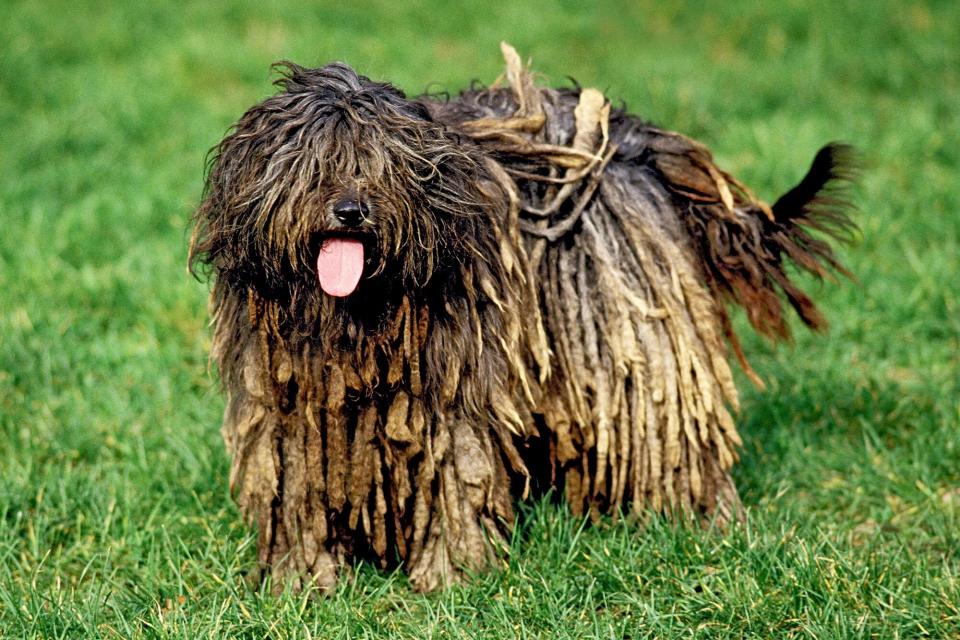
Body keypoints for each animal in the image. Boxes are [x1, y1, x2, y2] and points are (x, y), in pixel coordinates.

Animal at [189, 45, 856, 592]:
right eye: (314, 166)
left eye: (381, 166)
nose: (351, 210)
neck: (356, 315)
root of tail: (638, 142)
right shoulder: (290, 403)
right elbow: (295, 481)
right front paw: (303, 579)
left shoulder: (451, 388)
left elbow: (455, 471)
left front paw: (449, 576)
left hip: (628, 326)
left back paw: (692, 520)